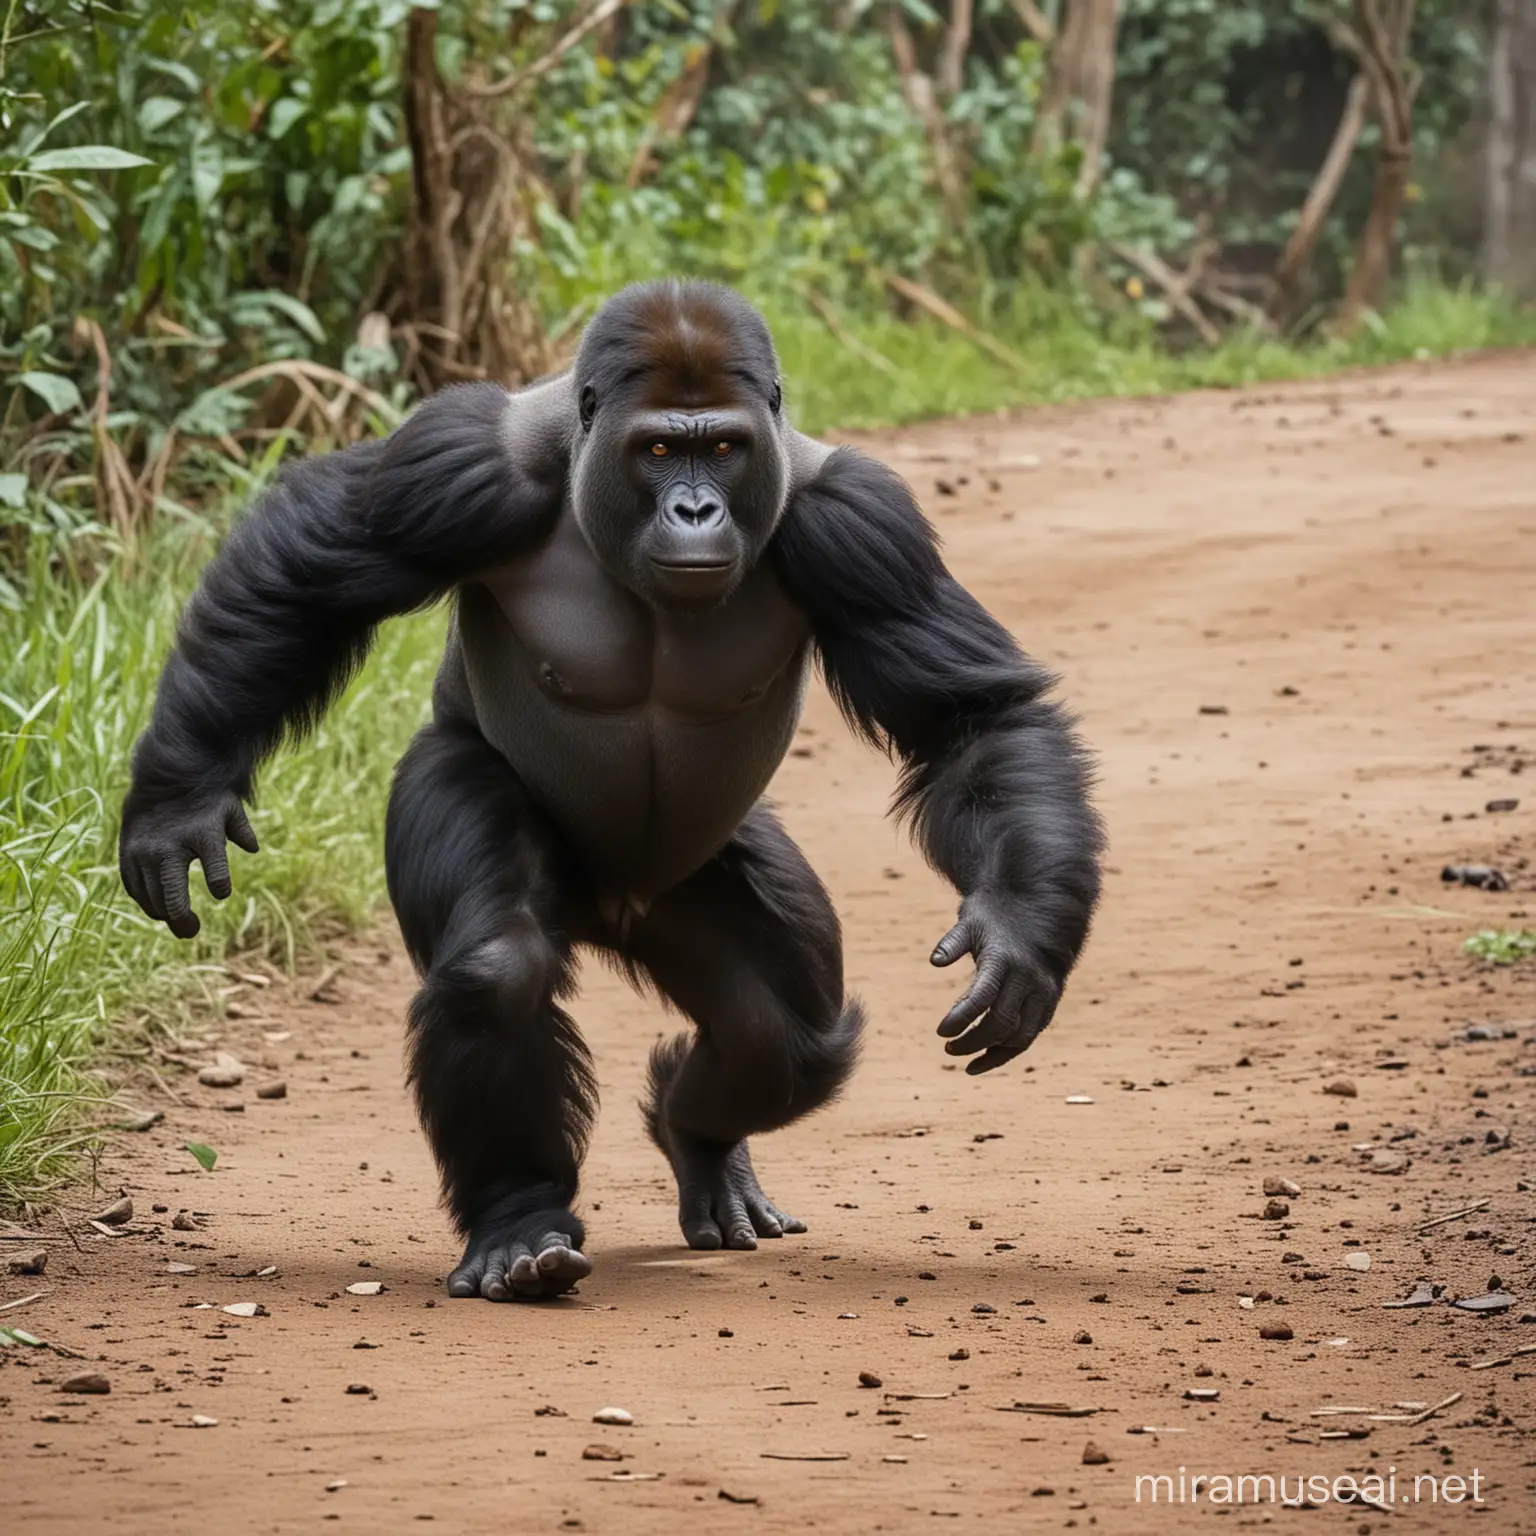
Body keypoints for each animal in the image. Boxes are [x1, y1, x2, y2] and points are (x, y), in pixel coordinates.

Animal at [122, 282, 1105, 1302]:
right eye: (659, 451)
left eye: (724, 447)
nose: (696, 508)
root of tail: (607, 910)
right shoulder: (456, 464)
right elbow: (309, 579)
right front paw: (178, 796)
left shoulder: (864, 525)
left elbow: (968, 722)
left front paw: (1021, 931)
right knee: (503, 967)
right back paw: (519, 1221)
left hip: (689, 889)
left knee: (781, 1039)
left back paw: (697, 1138)